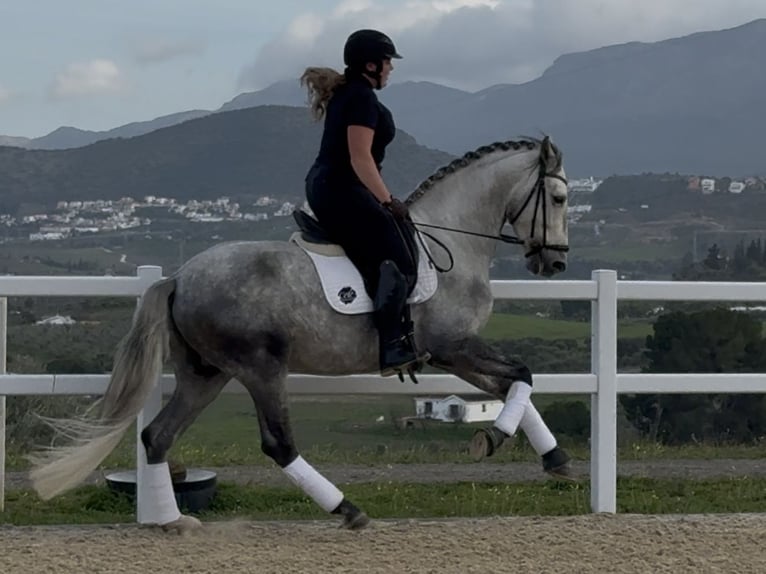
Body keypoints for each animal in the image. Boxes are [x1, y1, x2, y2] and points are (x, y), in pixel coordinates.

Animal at [30, 136, 571, 532]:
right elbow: (523, 376)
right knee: (278, 444)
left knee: (157, 436)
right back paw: (347, 510)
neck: (451, 241)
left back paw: (173, 521)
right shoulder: (452, 347)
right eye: (560, 197)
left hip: (205, 373)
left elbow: (514, 383)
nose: (555, 263)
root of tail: (180, 277)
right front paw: (493, 438)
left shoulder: (451, 353)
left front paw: (555, 460)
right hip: (261, 367)